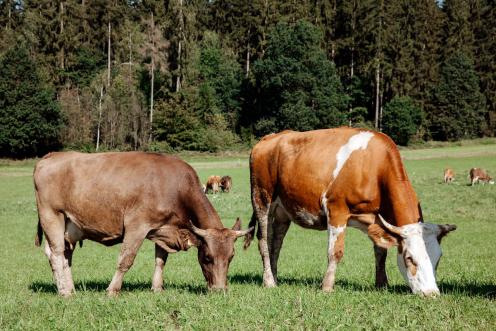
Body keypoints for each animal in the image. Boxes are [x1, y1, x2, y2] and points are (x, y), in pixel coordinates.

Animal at [34, 153, 252, 298]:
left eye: (231, 257)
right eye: (207, 257)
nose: (220, 290)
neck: (174, 187)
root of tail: (51, 156)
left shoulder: (163, 228)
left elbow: (160, 260)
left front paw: (157, 288)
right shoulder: (137, 226)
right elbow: (126, 259)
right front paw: (112, 290)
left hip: (70, 225)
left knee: (65, 256)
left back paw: (70, 288)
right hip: (51, 215)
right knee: (56, 254)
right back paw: (64, 292)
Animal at [244, 128, 458, 296]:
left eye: (437, 259)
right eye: (409, 258)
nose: (431, 293)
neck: (374, 167)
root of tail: (271, 137)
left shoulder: (376, 220)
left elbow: (380, 252)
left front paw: (382, 284)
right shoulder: (336, 209)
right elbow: (335, 252)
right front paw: (327, 287)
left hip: (282, 211)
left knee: (276, 244)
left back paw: (275, 276)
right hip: (261, 199)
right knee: (263, 241)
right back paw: (269, 282)